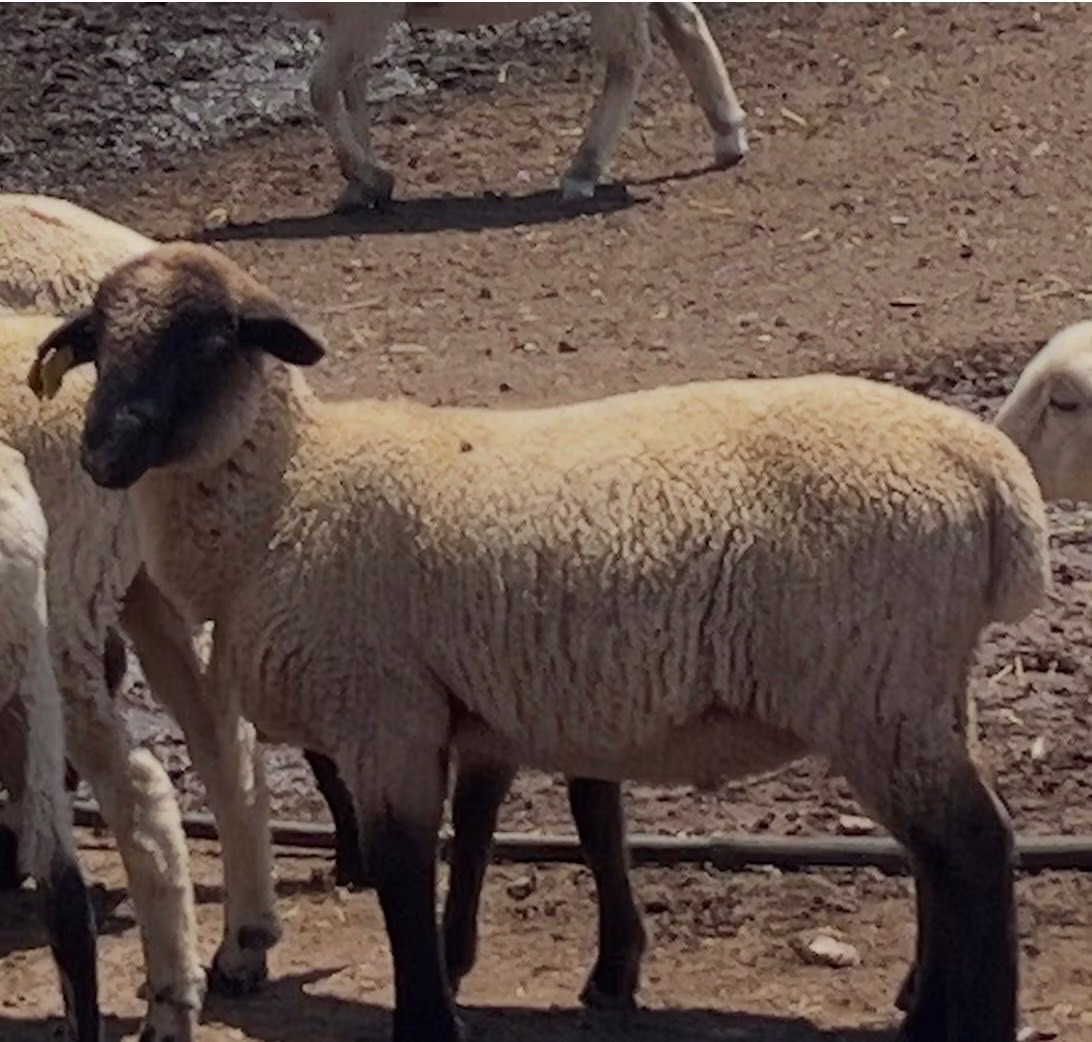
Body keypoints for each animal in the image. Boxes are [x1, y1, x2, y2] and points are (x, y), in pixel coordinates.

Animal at [32, 241, 1050, 1042]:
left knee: (975, 848)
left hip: (873, 682)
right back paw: (925, 1010)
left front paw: (428, 1017)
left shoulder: (384, 708)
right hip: (918, 688)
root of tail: (989, 473)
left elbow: (403, 869)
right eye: (100, 343)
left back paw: (969, 1022)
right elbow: (471, 838)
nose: (102, 452)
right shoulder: (458, 708)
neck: (289, 487)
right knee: (942, 854)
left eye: (209, 342)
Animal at [280, 2, 749, 210]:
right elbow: (351, 91)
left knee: (627, 59)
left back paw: (582, 172)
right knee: (685, 23)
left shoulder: (366, 14)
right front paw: (363, 188)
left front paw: (372, 177)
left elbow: (321, 91)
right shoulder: (346, 19)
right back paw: (729, 135)